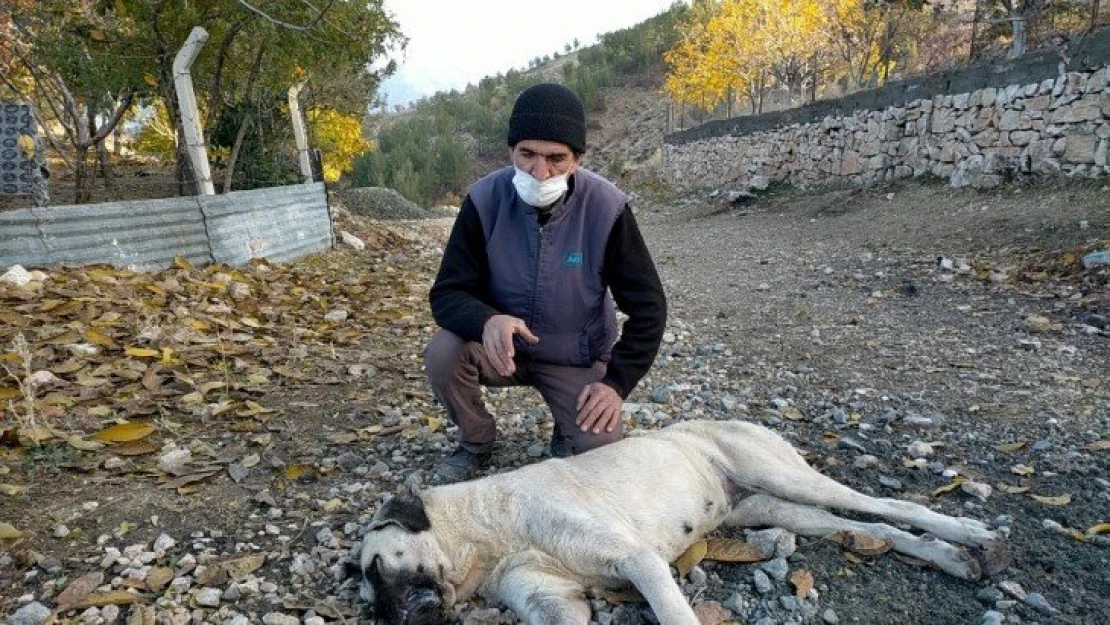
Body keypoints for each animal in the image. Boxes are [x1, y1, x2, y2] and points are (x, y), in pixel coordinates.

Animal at [350, 419, 1012, 625]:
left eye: (379, 569)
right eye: (366, 585)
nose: (382, 620)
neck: (486, 534)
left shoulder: (636, 560)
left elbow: (672, 612)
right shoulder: (552, 603)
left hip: (783, 476)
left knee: (895, 508)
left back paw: (974, 537)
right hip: (774, 507)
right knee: (875, 529)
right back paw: (953, 558)